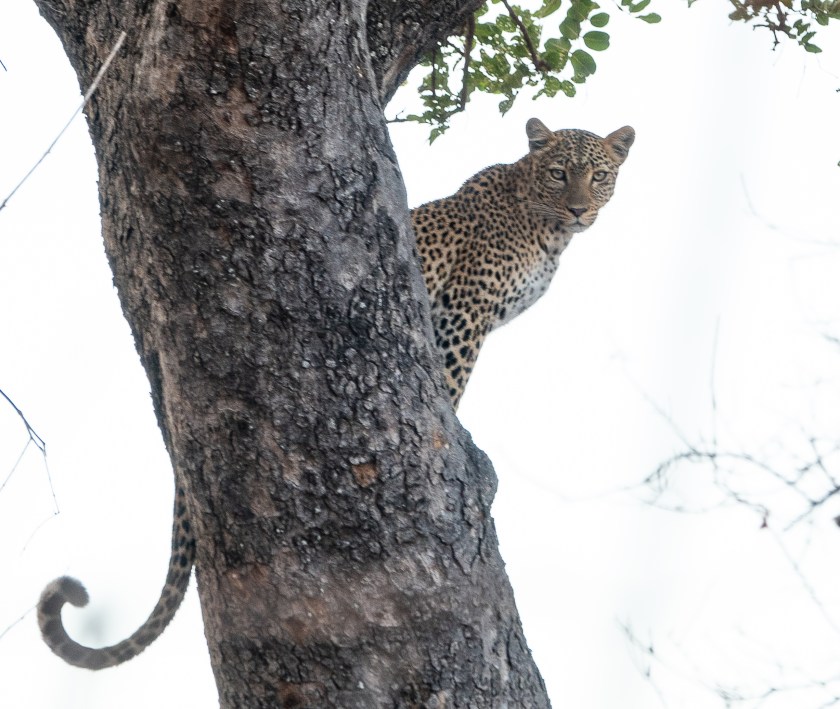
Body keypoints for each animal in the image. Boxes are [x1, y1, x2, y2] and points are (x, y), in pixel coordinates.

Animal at [36, 117, 634, 669]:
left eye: (599, 176)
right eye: (559, 174)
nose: (580, 209)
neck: (547, 229)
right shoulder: (463, 311)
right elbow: (450, 382)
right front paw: (457, 439)